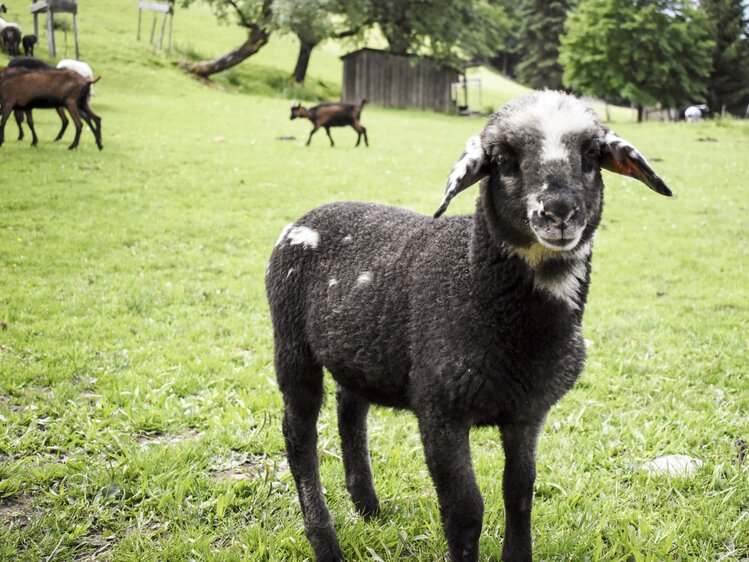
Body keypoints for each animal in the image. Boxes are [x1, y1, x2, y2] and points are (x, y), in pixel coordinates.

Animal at [264, 91, 672, 560]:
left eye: (591, 155)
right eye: (502, 159)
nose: (559, 212)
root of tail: (307, 216)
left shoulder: (528, 412)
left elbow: (520, 492)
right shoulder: (440, 408)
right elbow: (465, 510)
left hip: (360, 352)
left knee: (350, 410)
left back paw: (367, 506)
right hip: (291, 343)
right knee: (299, 438)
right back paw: (325, 541)